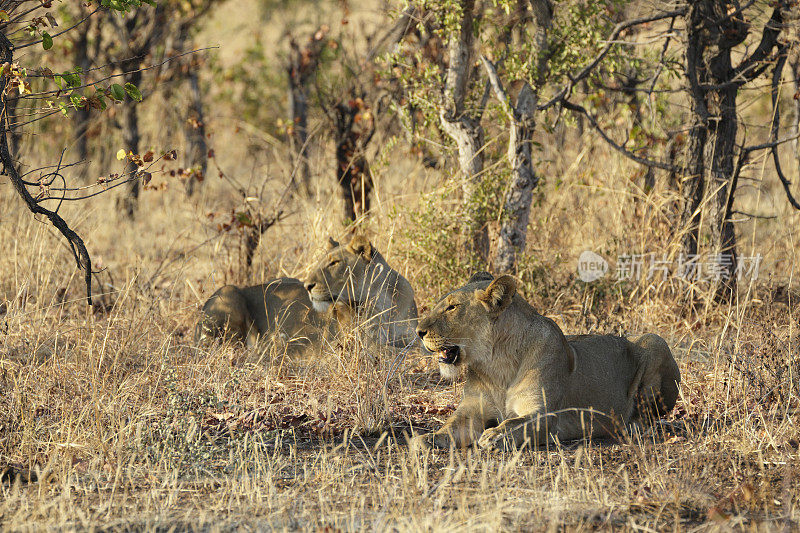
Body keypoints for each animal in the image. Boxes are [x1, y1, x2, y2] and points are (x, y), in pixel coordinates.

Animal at [412, 270, 680, 448]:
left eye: (452, 307)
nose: (418, 331)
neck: (495, 364)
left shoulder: (544, 416)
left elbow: (514, 424)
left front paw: (494, 435)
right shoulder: (471, 411)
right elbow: (450, 426)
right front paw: (427, 439)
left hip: (655, 340)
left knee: (648, 416)